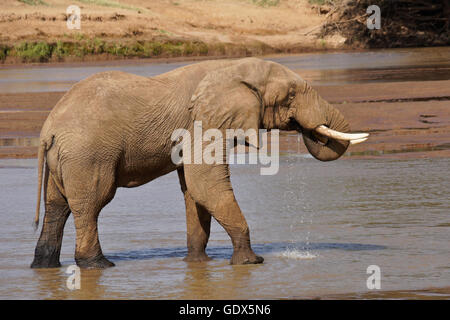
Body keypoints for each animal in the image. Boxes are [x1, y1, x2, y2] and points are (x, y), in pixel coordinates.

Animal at [29, 57, 368, 268]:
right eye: (292, 94)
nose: (306, 127)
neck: (233, 67)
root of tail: (48, 129)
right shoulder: (202, 122)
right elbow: (204, 183)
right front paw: (251, 261)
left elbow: (193, 191)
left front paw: (197, 264)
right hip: (87, 155)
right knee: (91, 203)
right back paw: (98, 265)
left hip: (67, 158)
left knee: (57, 206)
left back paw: (44, 266)